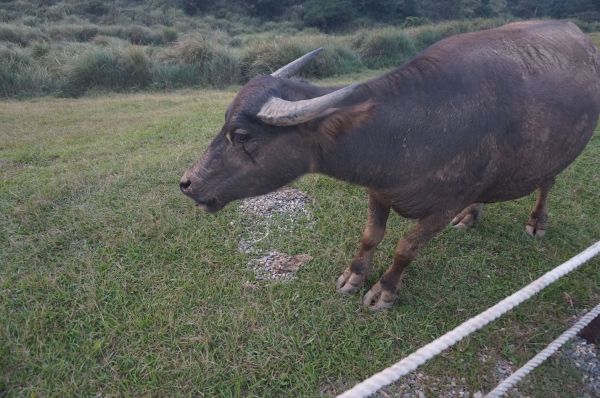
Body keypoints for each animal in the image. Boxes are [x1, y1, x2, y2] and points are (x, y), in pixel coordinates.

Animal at [180, 21, 600, 310]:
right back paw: (471, 214)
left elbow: (405, 248)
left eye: (242, 135)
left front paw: (383, 291)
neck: (407, 134)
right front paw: (352, 277)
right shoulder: (377, 191)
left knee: (547, 184)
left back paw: (537, 222)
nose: (187, 183)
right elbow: (371, 236)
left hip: (560, 154)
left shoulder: (440, 208)